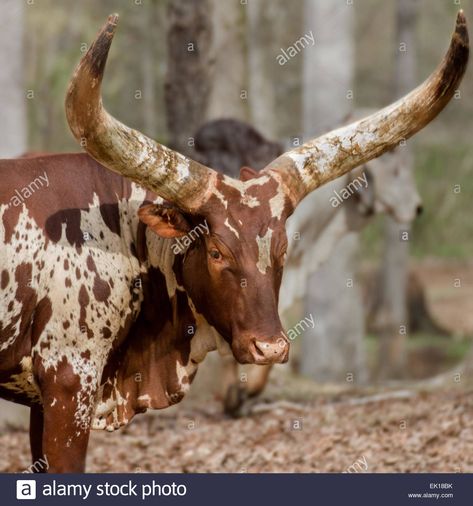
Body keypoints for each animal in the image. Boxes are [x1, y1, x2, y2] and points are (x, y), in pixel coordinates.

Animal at [0, 11, 464, 472]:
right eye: (217, 251)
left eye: (282, 248)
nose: (270, 347)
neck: (122, 233)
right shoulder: (68, 382)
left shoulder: (44, 399)